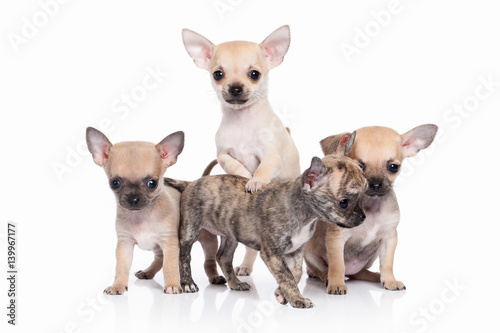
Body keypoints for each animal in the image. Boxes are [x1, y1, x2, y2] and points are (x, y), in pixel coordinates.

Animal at [86, 127, 195, 294]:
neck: (141, 216)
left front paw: (172, 285)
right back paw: (147, 272)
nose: (133, 199)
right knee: (159, 259)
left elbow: (169, 266)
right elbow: (121, 267)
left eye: (152, 183)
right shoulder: (124, 245)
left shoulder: (169, 243)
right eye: (114, 183)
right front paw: (117, 285)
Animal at [184, 25, 300, 274]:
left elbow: (263, 168)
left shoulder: (271, 156)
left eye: (254, 74)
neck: (242, 121)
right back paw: (246, 266)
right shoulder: (222, 154)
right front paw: (245, 175)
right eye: (218, 74)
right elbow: (234, 164)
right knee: (251, 247)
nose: (235, 88)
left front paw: (255, 181)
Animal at [300, 124, 438, 294]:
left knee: (359, 273)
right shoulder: (337, 238)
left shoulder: (389, 238)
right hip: (310, 252)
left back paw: (375, 276)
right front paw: (336, 284)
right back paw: (326, 277)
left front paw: (389, 280)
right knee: (320, 270)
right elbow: (337, 265)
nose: (376, 184)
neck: (371, 208)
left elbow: (387, 263)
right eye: (359, 167)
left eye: (393, 167)